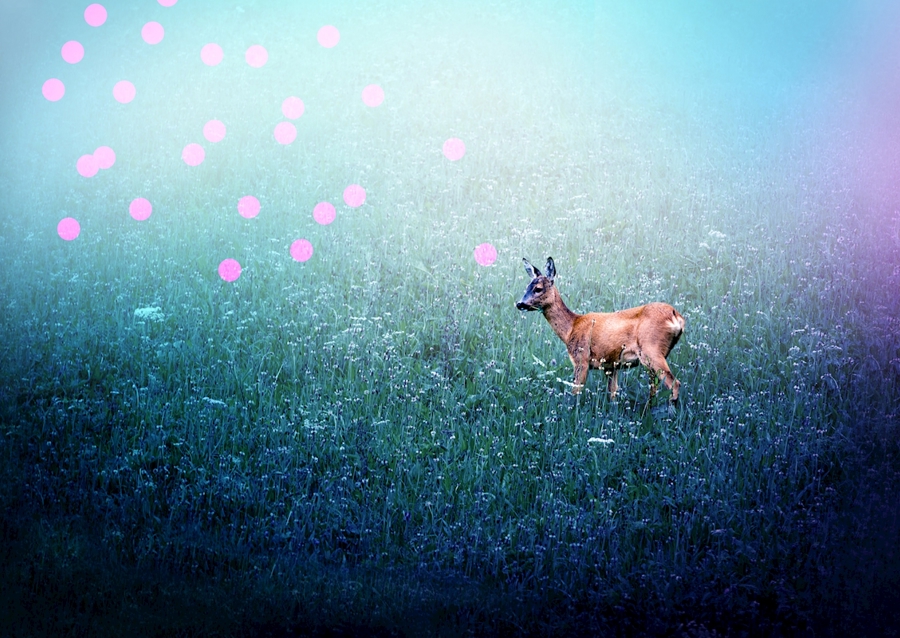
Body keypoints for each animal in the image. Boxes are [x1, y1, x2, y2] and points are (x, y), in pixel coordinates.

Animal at [516, 257, 685, 405]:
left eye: (538, 289)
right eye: (526, 287)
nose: (519, 304)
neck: (571, 328)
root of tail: (676, 316)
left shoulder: (581, 358)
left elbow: (575, 393)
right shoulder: (611, 366)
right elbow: (612, 394)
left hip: (651, 350)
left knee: (674, 384)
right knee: (654, 387)